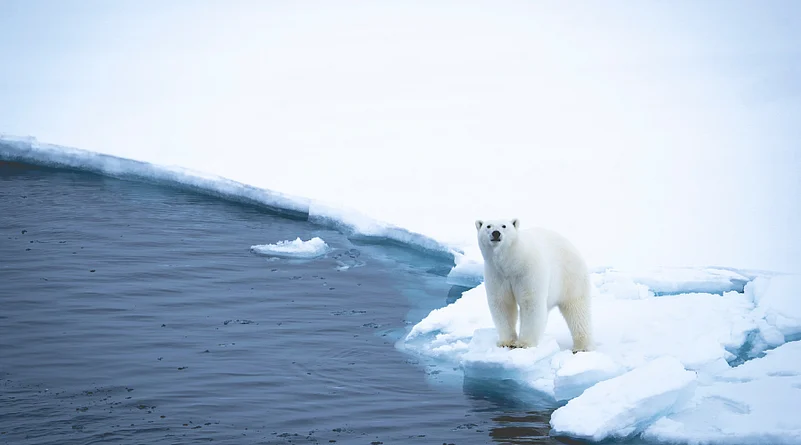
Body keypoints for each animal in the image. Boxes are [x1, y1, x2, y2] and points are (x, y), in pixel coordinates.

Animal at [475, 218, 593, 352]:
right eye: (488, 226)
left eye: (504, 226)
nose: (496, 233)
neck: (511, 262)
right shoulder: (497, 274)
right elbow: (502, 303)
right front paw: (506, 342)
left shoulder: (528, 271)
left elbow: (530, 301)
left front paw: (523, 344)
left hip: (571, 276)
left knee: (577, 309)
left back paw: (581, 347)